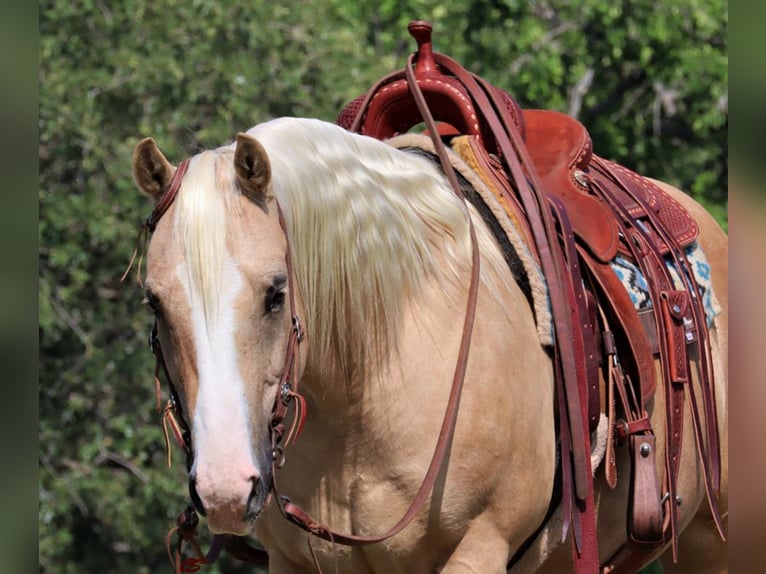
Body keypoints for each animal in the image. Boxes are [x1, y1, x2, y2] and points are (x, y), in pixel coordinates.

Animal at [134, 117, 732, 574]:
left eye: (276, 293)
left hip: (708, 537)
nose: (225, 488)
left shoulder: (478, 548)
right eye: (154, 303)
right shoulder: (298, 563)